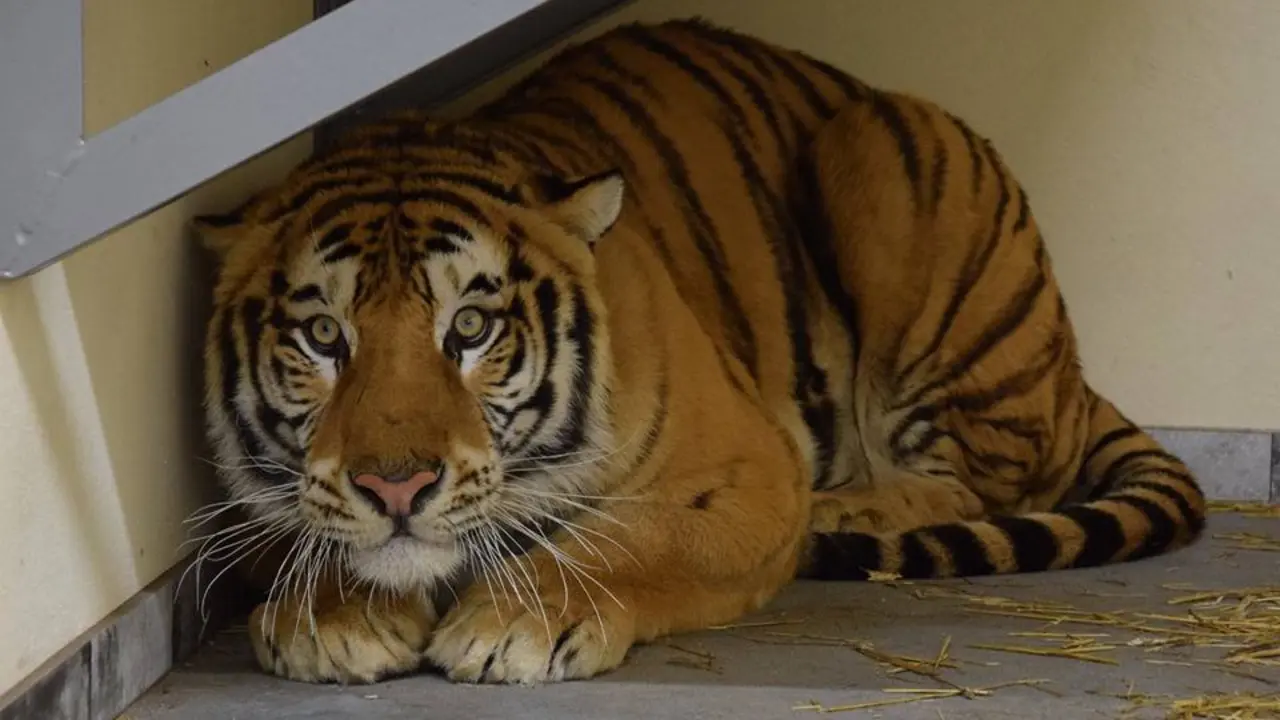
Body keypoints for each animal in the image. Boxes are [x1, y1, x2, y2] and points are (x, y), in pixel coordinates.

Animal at [195, 17, 1206, 686]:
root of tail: (1075, 373)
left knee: (976, 485)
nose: (397, 487)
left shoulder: (745, 468)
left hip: (882, 147)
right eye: (324, 335)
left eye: (471, 329)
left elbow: (628, 538)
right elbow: (312, 529)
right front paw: (331, 620)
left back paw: (842, 512)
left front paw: (517, 624)